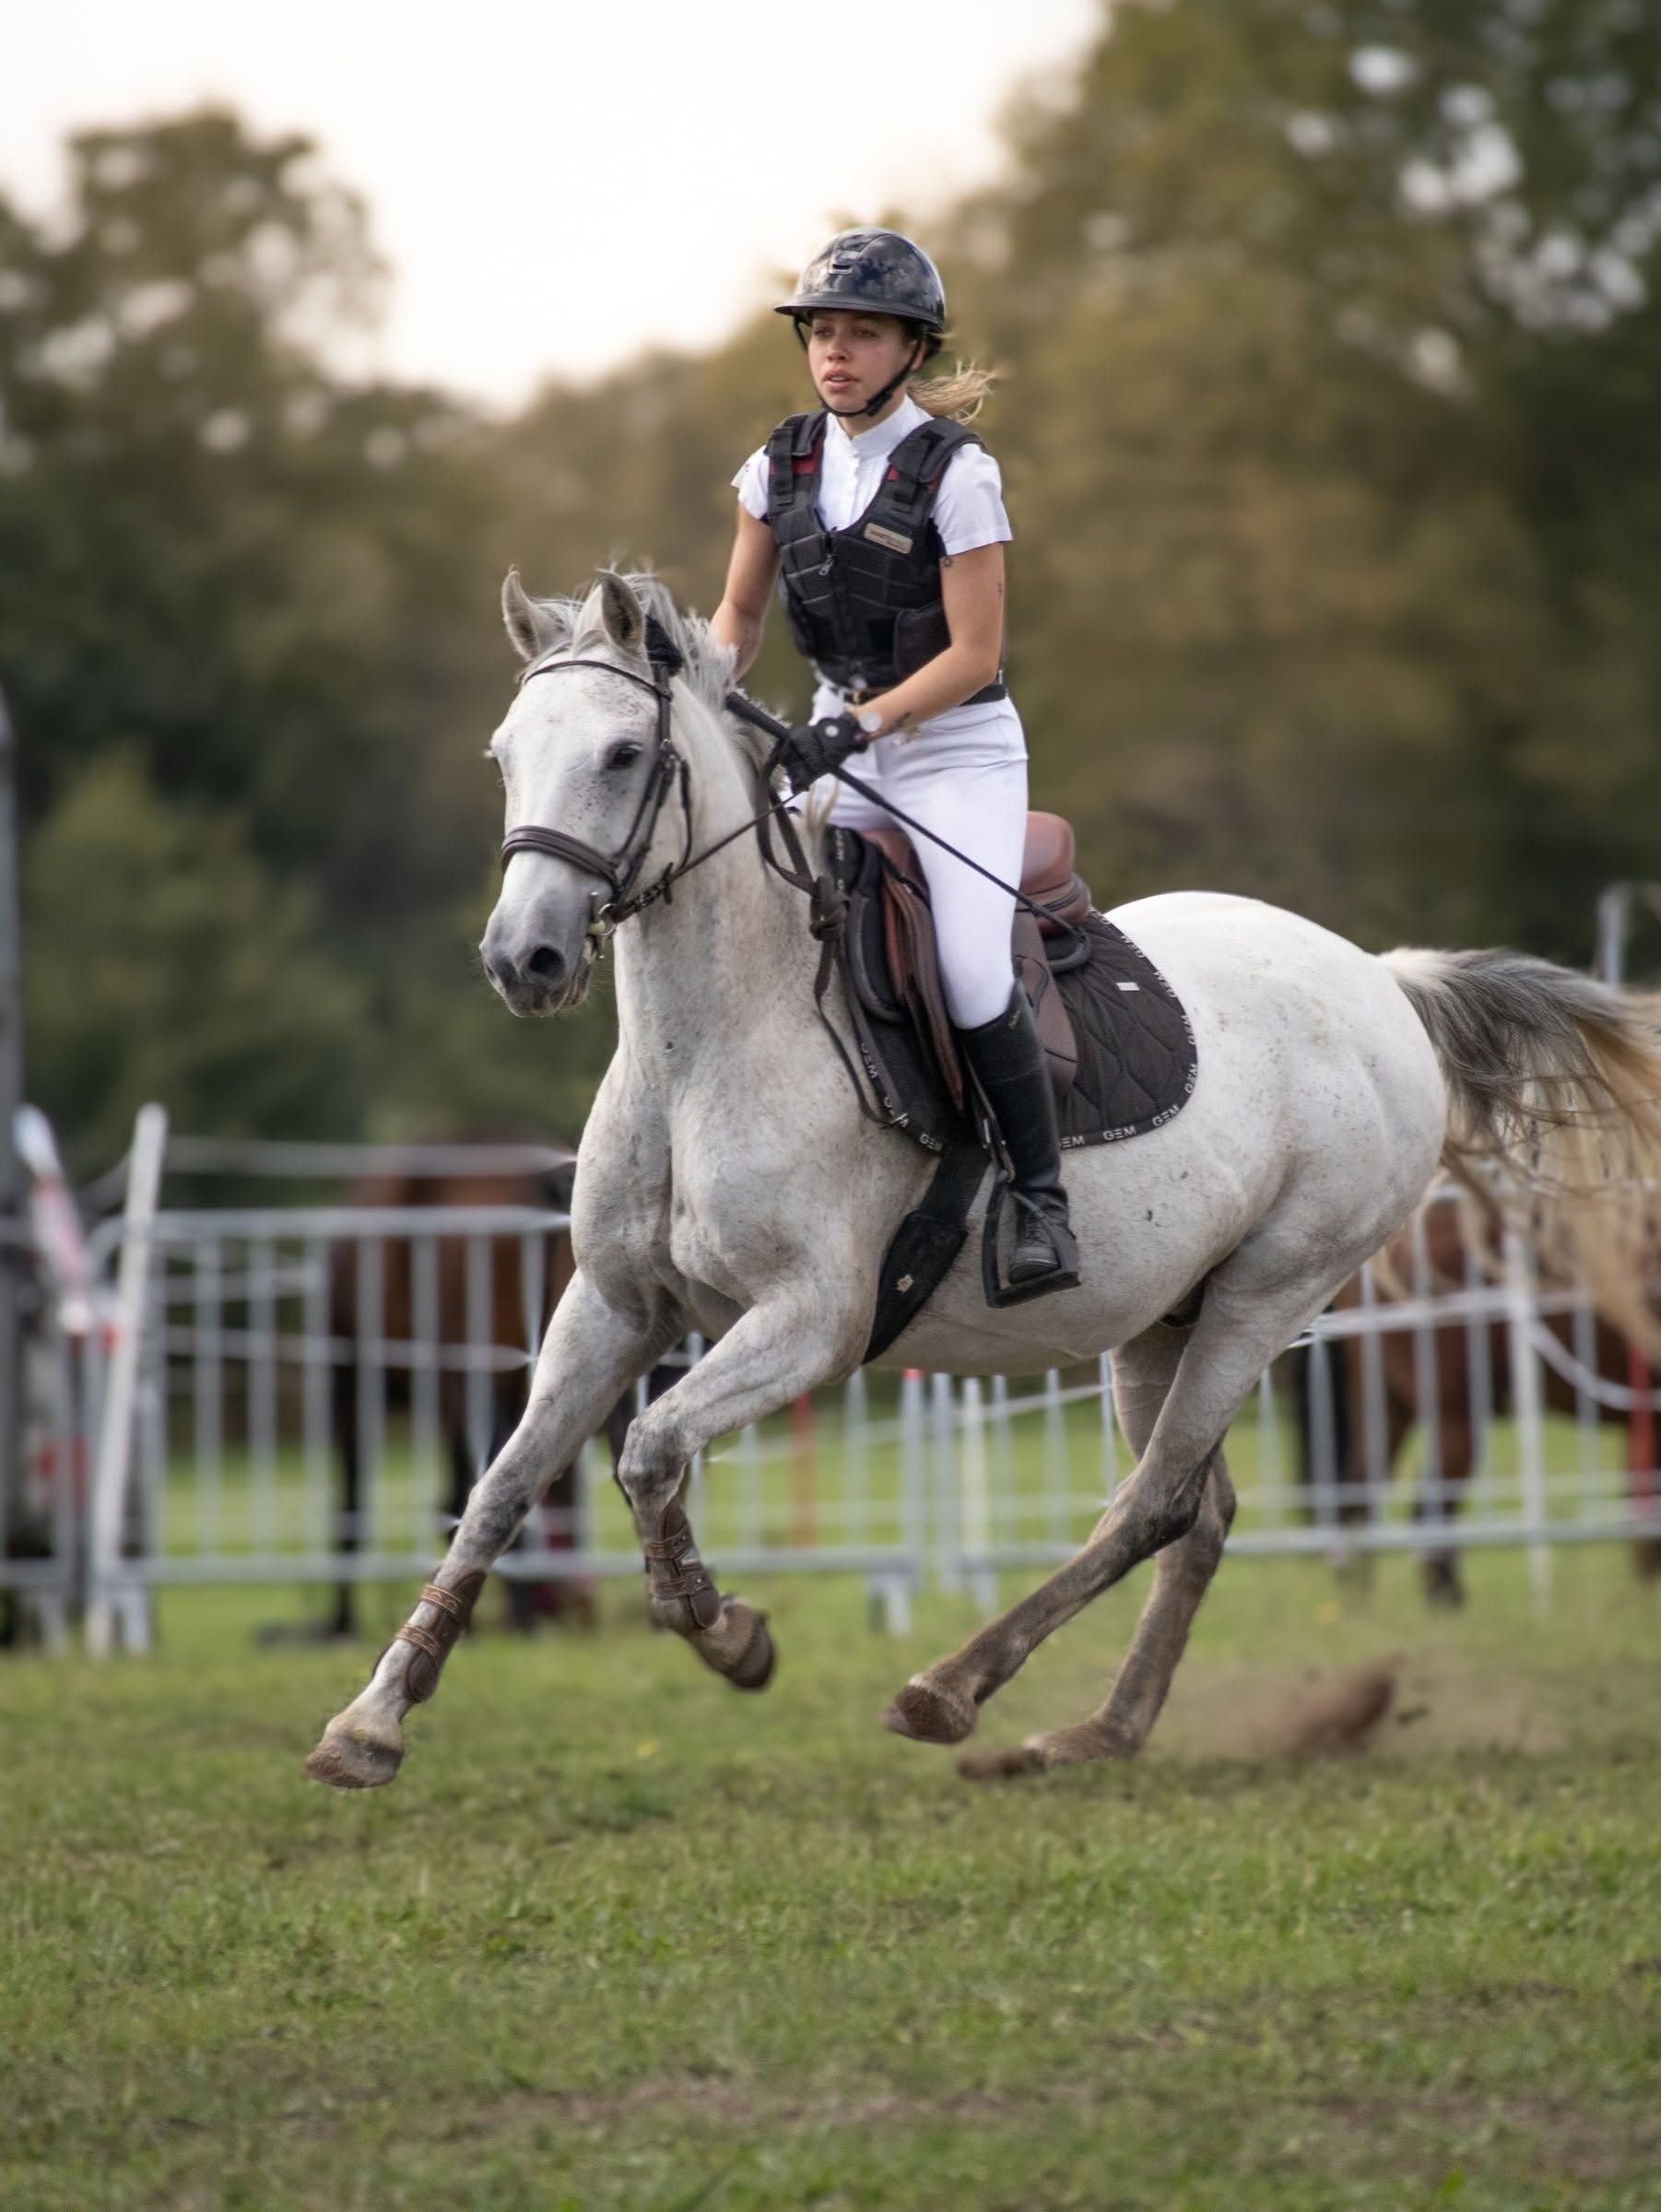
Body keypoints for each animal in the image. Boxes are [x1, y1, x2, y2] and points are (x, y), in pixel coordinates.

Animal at [305, 571, 1661, 1790]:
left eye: (625, 752)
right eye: (504, 756)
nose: (522, 959)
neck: (706, 1049)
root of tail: (1381, 978)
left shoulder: (810, 1321)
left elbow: (648, 1450)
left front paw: (725, 1632)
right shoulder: (612, 1306)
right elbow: (501, 1488)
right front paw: (372, 1720)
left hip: (1267, 1295)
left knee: (1150, 1504)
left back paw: (952, 1689)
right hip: (1160, 1320)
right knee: (1197, 1512)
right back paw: (1097, 1732)